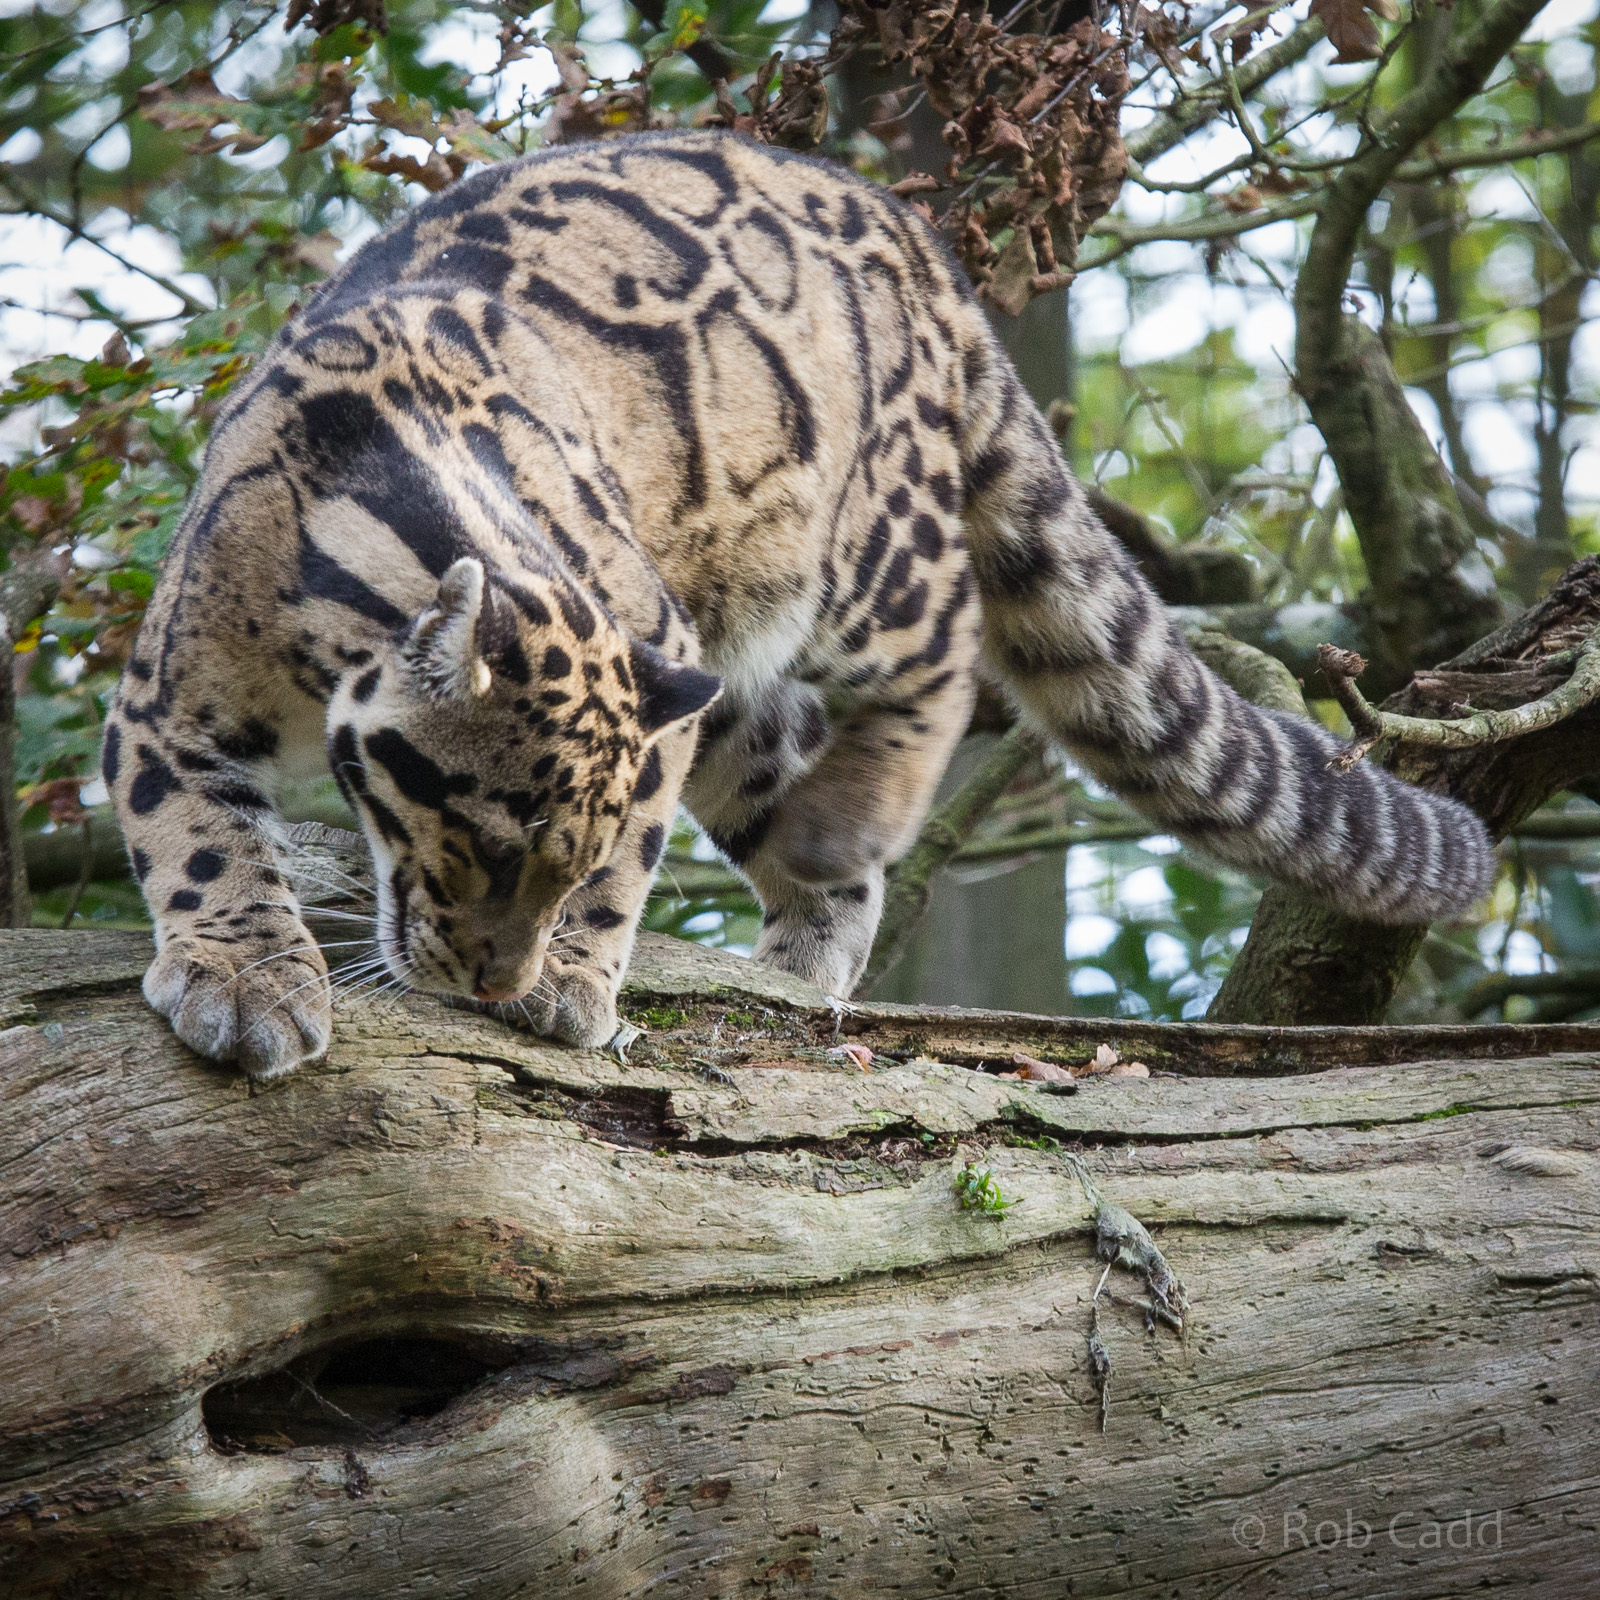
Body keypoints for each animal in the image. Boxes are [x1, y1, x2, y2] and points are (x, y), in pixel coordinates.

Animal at [104, 129, 1495, 1078]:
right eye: (489, 845)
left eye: (559, 861)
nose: (494, 984)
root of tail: (920, 242)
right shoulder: (168, 696)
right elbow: (201, 836)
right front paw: (246, 976)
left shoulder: (652, 664)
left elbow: (631, 854)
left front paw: (571, 978)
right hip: (735, 690)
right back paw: (802, 960)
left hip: (866, 554)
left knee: (939, 657)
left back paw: (849, 827)